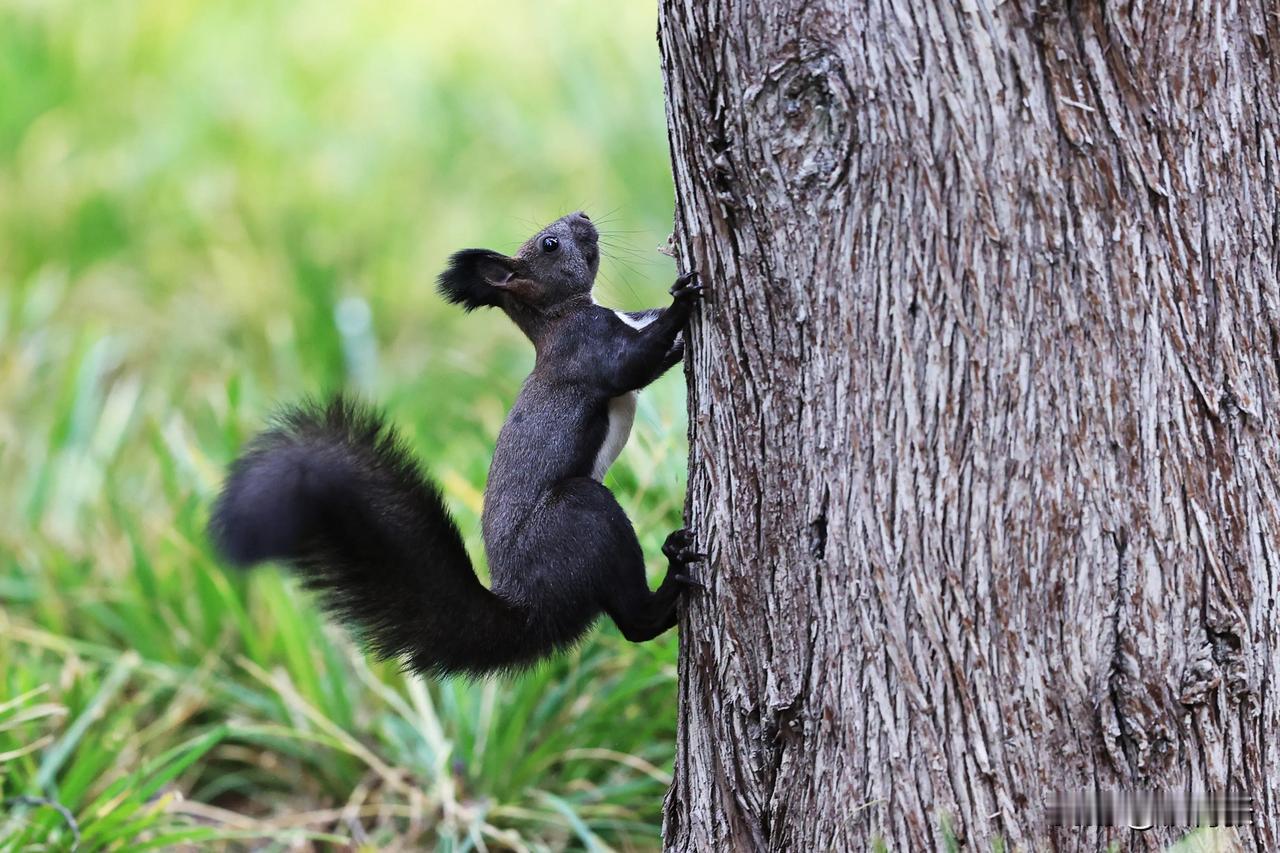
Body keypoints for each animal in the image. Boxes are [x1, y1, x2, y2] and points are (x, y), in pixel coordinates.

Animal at [209, 208, 711, 676]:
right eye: (549, 244)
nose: (583, 216)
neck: (557, 317)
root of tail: (531, 606)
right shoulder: (585, 350)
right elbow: (632, 364)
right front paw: (681, 301)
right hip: (578, 521)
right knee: (633, 622)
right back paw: (672, 576)